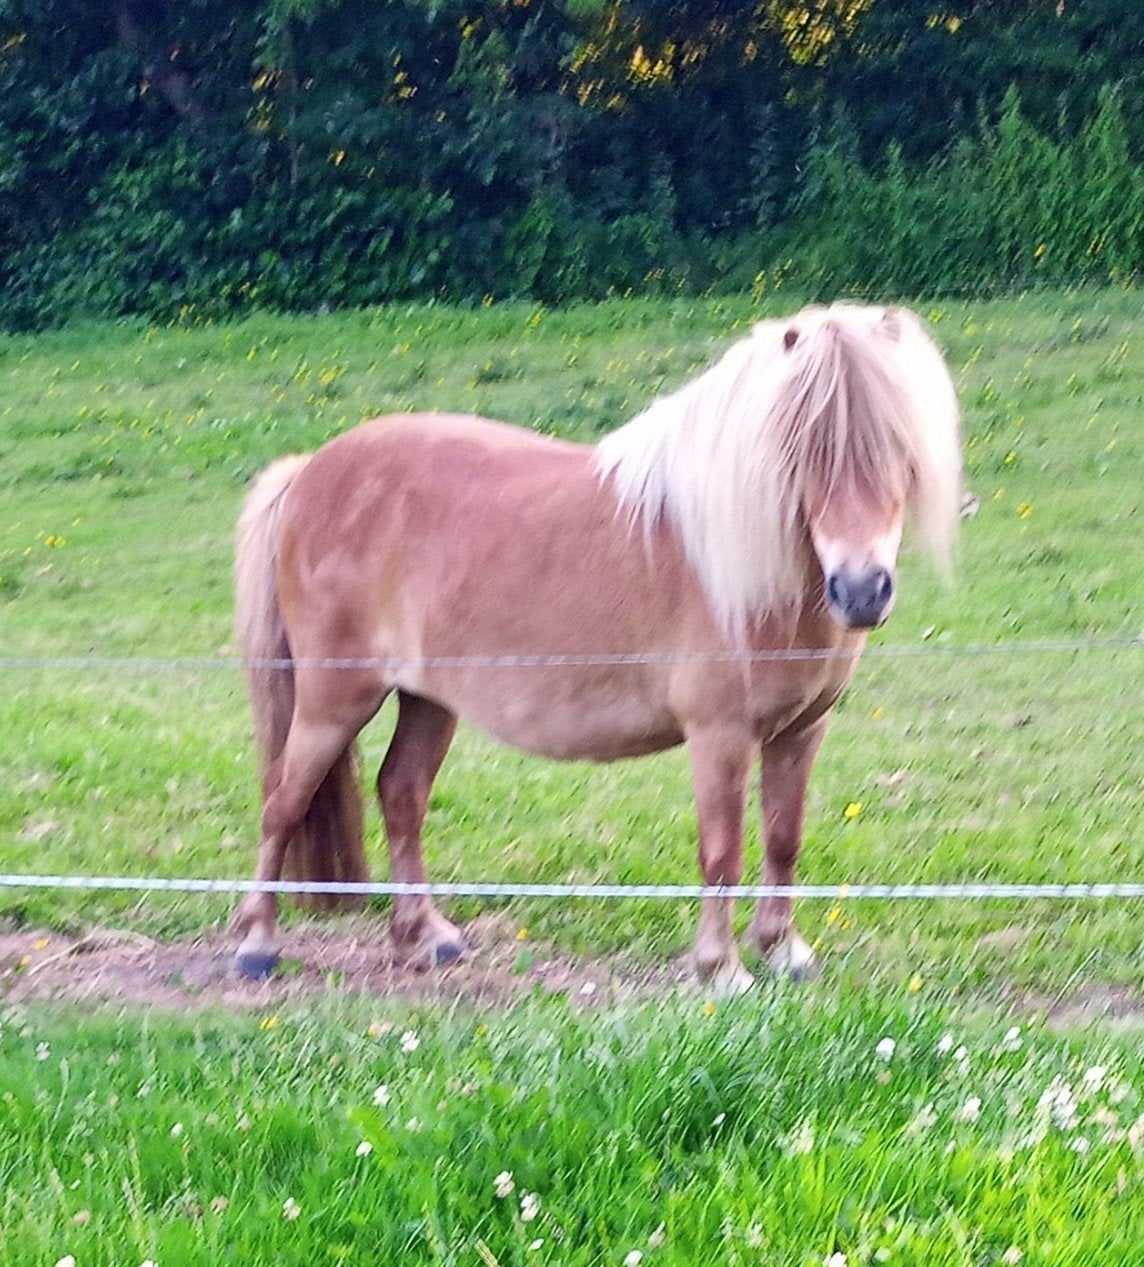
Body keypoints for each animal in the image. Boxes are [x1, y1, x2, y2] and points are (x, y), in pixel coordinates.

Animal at [231, 301, 961, 991]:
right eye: (803, 453)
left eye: (902, 452)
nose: (861, 590)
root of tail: (307, 471)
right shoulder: (720, 735)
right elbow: (721, 850)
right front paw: (721, 968)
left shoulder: (802, 730)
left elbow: (784, 838)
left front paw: (785, 951)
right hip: (335, 700)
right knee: (281, 800)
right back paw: (256, 942)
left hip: (429, 699)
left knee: (400, 792)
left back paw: (427, 935)